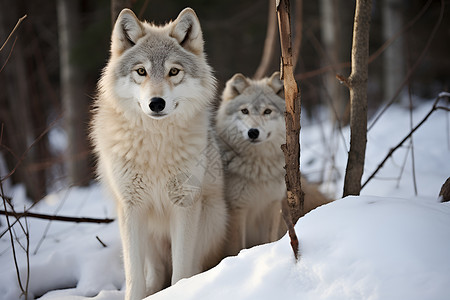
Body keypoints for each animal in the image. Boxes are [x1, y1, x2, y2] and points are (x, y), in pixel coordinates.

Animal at [90, 7, 227, 300]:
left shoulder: (184, 204)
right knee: (154, 272)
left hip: (209, 219)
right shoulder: (131, 208)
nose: (156, 103)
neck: (155, 145)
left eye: (173, 71)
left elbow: (181, 272)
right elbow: (134, 276)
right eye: (141, 71)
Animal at [216, 71, 332, 255]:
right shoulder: (237, 210)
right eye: (245, 111)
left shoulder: (272, 206)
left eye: (267, 111)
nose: (253, 132)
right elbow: (237, 247)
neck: (259, 168)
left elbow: (268, 240)